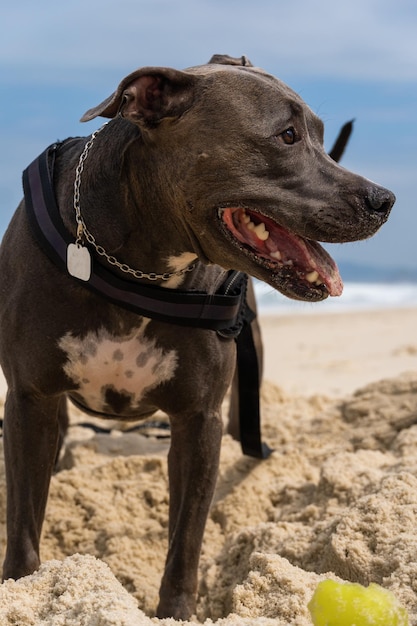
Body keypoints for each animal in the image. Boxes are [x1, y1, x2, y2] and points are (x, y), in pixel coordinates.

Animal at [0, 52, 394, 616]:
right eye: (288, 135)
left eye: (319, 134)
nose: (385, 199)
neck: (137, 267)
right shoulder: (30, 398)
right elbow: (24, 524)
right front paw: (20, 587)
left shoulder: (198, 420)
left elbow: (186, 536)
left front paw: (177, 612)